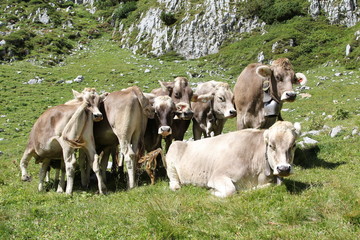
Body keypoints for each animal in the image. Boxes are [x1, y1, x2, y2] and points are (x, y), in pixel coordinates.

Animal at [166, 121, 300, 198]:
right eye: (271, 145)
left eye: (293, 145)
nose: (284, 168)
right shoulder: (217, 176)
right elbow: (231, 190)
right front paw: (212, 191)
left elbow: (274, 185)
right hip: (172, 156)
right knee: (173, 179)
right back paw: (176, 186)